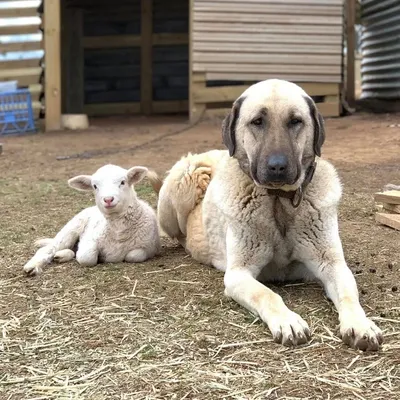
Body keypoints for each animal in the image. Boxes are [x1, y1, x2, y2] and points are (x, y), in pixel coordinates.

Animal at [23, 163, 160, 276]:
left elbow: (133, 255)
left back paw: (61, 255)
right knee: (48, 248)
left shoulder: (149, 248)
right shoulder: (89, 240)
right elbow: (86, 258)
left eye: (123, 182)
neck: (118, 233)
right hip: (71, 229)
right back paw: (32, 266)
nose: (108, 199)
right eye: (94, 186)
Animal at [151, 79, 384, 350]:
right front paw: (288, 321)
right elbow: (267, 294)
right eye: (257, 121)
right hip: (185, 178)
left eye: (295, 121)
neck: (279, 200)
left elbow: (348, 295)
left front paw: (360, 324)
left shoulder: (332, 264)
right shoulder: (238, 274)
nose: (277, 167)